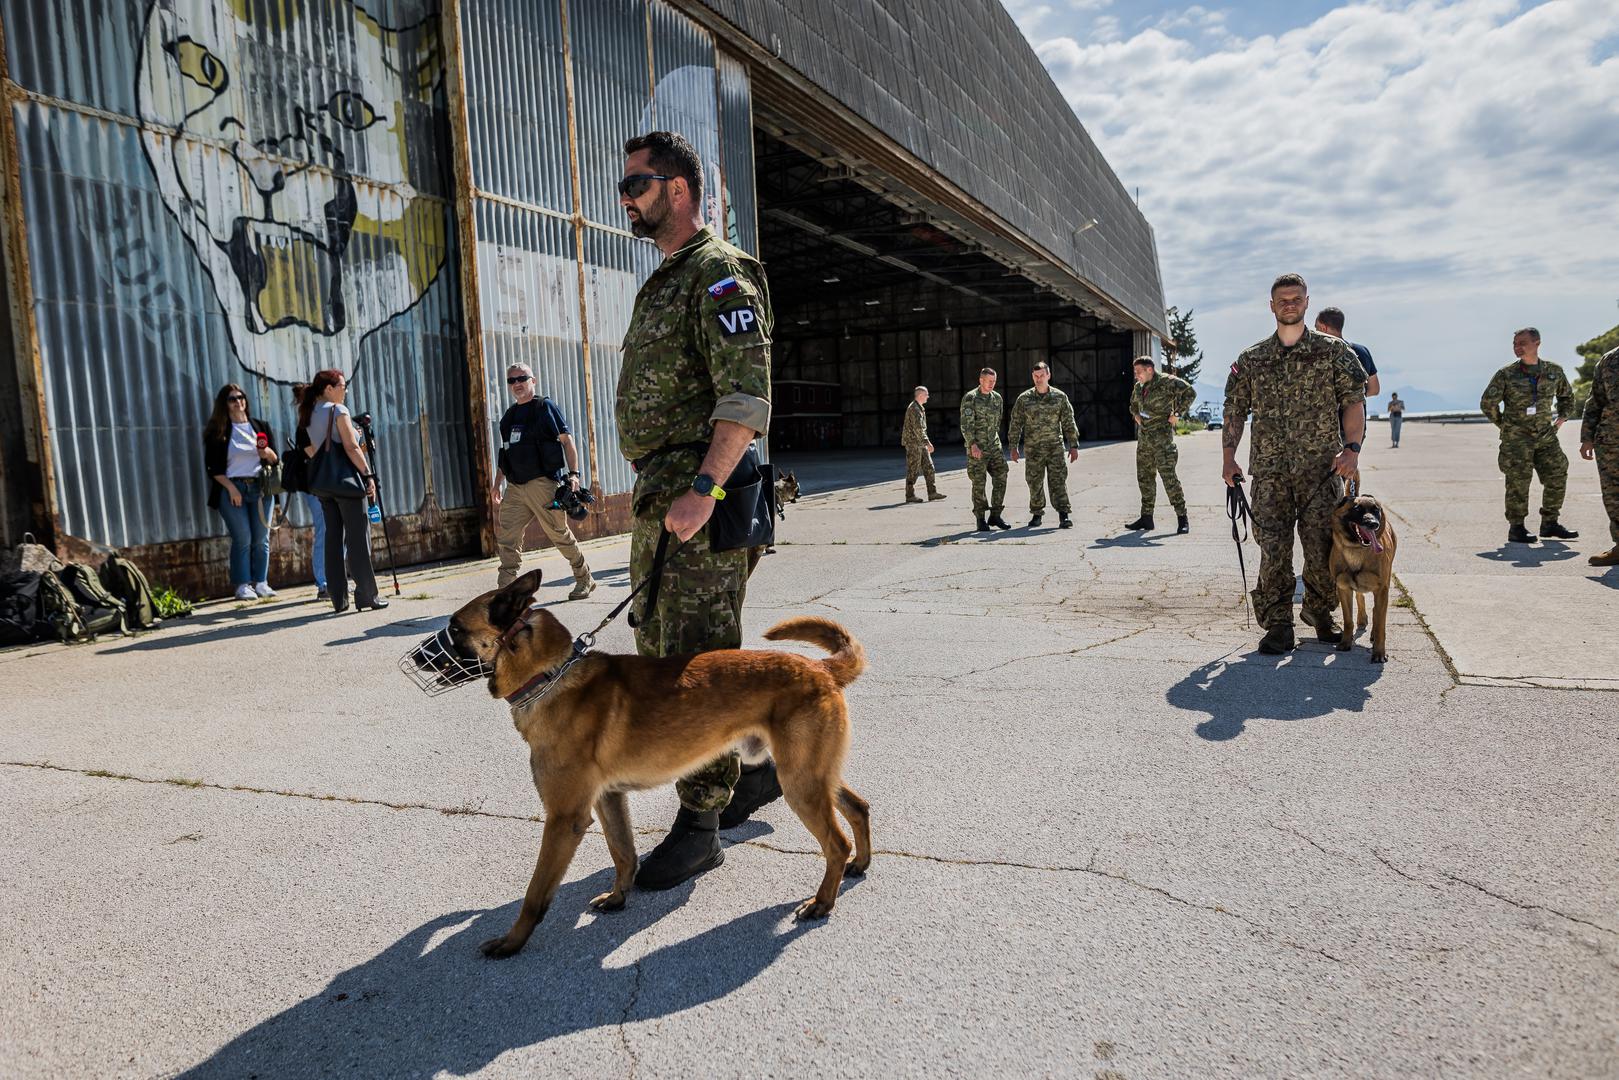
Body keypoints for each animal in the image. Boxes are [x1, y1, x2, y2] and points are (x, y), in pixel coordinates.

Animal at [430, 569, 874, 958]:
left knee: (836, 842)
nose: (419, 661)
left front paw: (512, 942)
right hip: (812, 776)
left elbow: (535, 893)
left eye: (455, 629)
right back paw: (861, 863)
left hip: (801, 784)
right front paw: (618, 897)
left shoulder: (564, 819)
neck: (550, 675)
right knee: (858, 807)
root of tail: (819, 668)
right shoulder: (608, 800)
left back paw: (822, 902)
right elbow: (623, 853)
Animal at [1334, 495, 1398, 663]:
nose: (1373, 524)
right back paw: (1362, 619)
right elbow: (1348, 620)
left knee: (1377, 612)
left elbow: (1381, 624)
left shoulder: (1381, 590)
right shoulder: (1343, 588)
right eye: (1357, 509)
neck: (1356, 550)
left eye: (1376, 510)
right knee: (1360, 596)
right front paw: (1345, 642)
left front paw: (1379, 652)